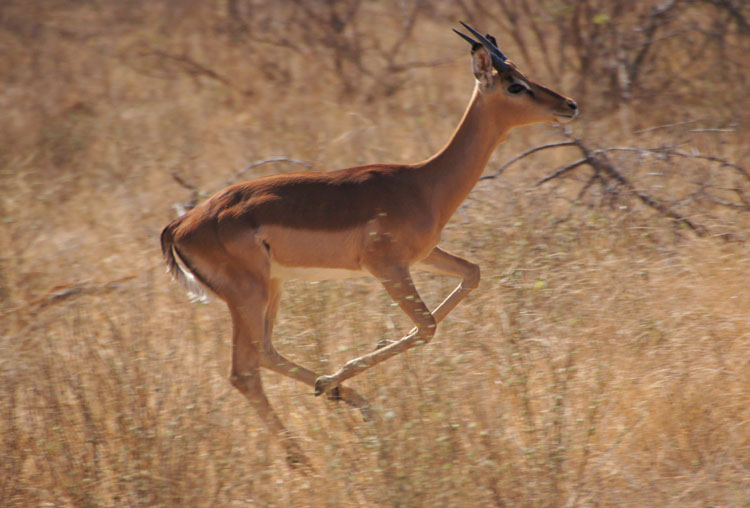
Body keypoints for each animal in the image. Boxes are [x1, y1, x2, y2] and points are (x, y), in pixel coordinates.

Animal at [160, 23, 577, 467]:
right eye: (515, 85)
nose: (569, 105)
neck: (422, 183)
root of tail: (181, 224)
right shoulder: (386, 268)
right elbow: (427, 326)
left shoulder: (424, 256)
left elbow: (472, 275)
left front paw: (335, 379)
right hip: (249, 294)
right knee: (244, 371)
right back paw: (307, 454)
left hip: (272, 287)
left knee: (265, 354)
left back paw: (337, 396)